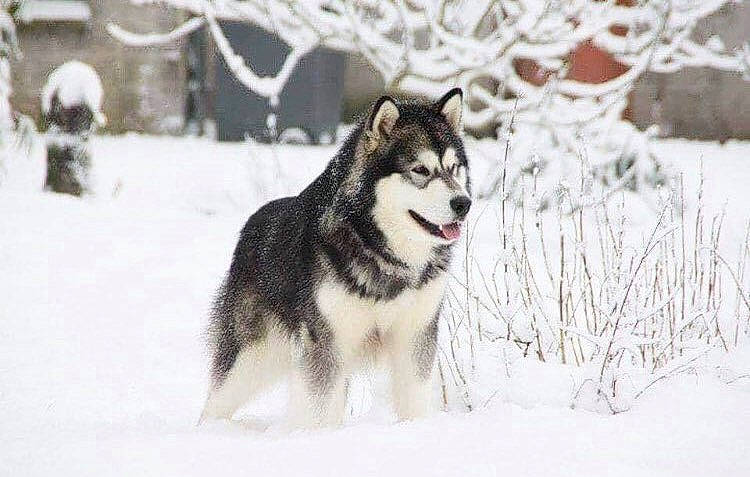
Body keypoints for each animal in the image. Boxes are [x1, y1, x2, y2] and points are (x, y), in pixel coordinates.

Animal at [200, 88, 471, 427]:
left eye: (454, 167)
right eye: (420, 170)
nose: (463, 203)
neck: (382, 252)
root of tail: (250, 225)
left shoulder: (415, 336)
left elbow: (414, 401)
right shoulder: (326, 341)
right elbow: (315, 409)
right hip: (254, 358)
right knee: (216, 400)